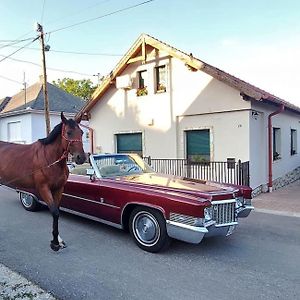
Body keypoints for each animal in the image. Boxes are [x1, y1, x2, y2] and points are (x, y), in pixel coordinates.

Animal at [0, 112, 85, 251]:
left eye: (82, 132)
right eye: (68, 132)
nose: (81, 157)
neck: (50, 159)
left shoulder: (58, 188)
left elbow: (57, 211)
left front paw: (58, 240)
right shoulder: (43, 188)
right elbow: (54, 212)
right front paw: (55, 243)